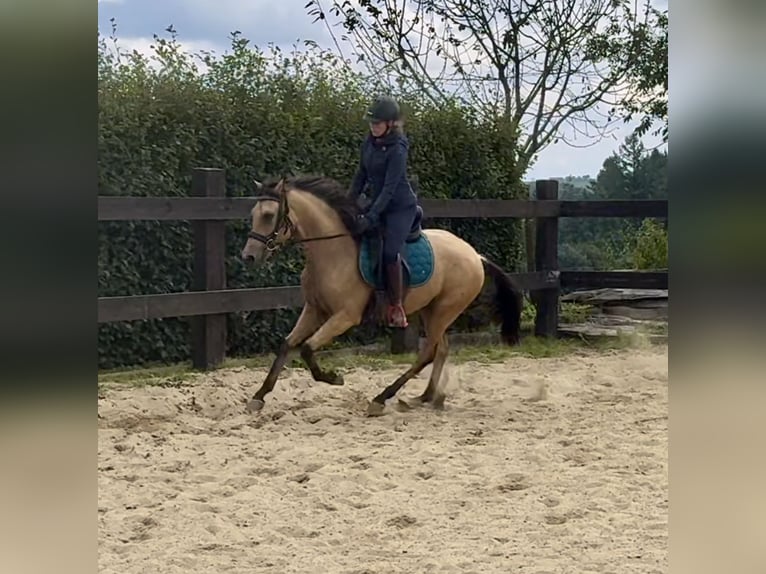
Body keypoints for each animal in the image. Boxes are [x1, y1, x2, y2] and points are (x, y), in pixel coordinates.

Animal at [242, 176, 528, 418]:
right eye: (253, 215)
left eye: (269, 215)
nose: (249, 257)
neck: (333, 251)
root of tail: (475, 255)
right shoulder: (314, 310)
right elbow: (287, 345)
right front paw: (259, 397)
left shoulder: (345, 316)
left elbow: (307, 348)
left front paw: (334, 378)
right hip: (431, 310)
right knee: (441, 349)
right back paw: (426, 398)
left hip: (445, 310)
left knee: (428, 353)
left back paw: (382, 399)